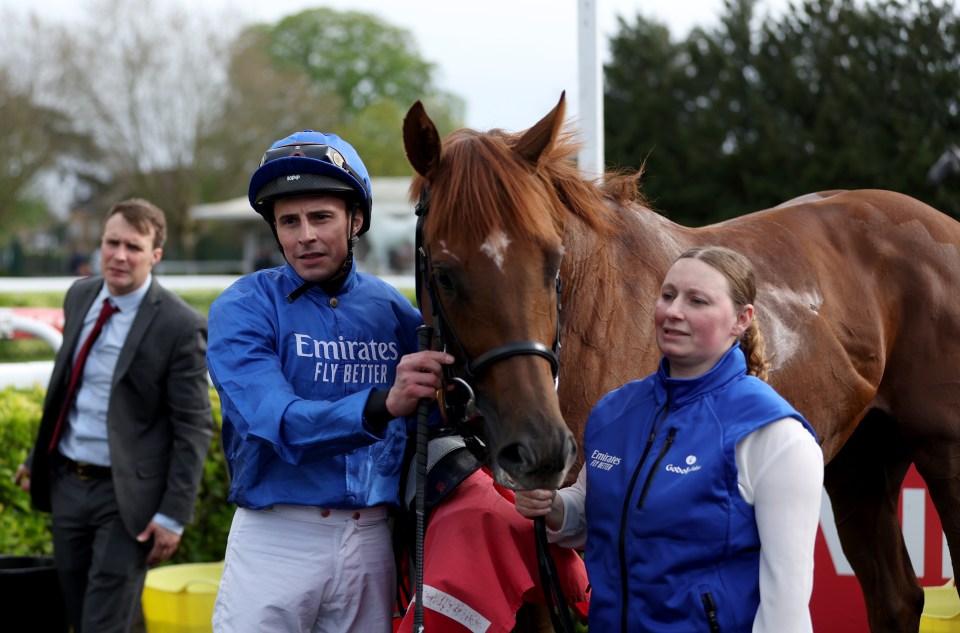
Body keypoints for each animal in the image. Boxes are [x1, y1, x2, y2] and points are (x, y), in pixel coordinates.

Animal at [402, 91, 960, 628]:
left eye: (551, 261)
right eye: (445, 274)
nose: (540, 447)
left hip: (943, 456)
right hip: (861, 462)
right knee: (897, 598)